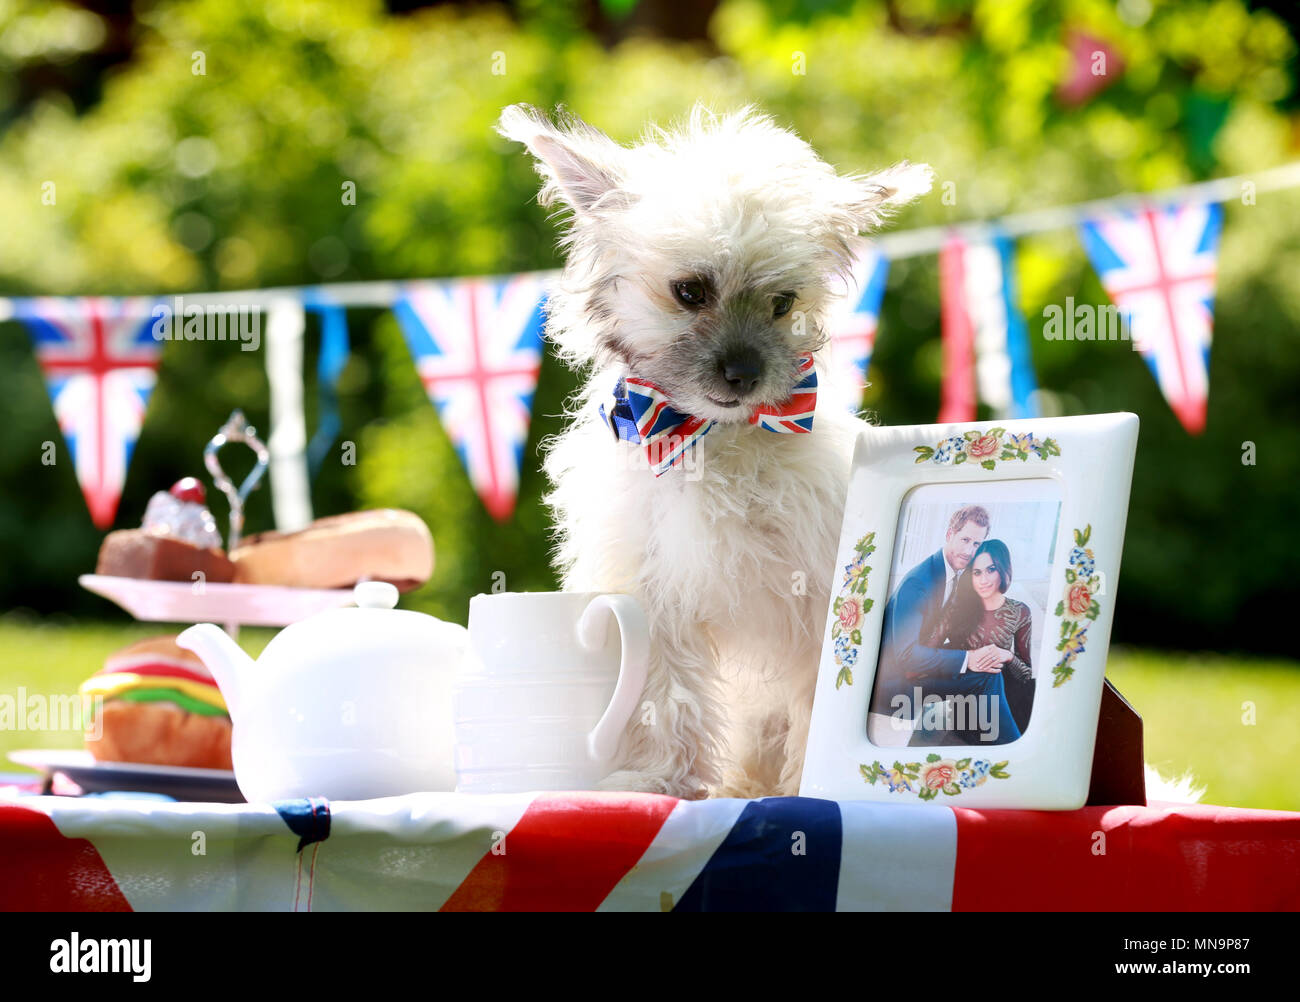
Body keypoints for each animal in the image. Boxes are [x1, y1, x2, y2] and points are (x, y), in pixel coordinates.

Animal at [496, 103, 935, 800]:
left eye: (782, 303)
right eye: (690, 292)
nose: (744, 374)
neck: (708, 438)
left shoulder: (818, 601)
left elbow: (815, 697)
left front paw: (808, 784)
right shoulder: (652, 596)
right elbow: (662, 693)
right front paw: (662, 778)